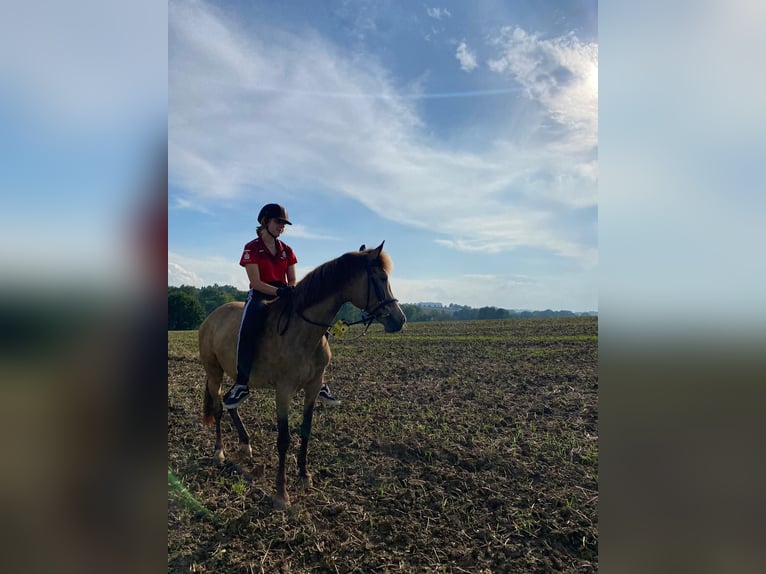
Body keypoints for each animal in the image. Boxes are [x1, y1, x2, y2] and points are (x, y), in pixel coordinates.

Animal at [198, 243, 408, 508]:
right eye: (381, 279)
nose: (399, 320)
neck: (303, 331)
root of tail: (211, 317)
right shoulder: (283, 391)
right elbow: (284, 438)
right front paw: (281, 493)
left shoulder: (313, 386)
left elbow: (306, 429)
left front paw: (304, 475)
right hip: (213, 371)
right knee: (218, 407)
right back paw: (219, 452)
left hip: (240, 377)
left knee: (231, 402)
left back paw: (245, 445)